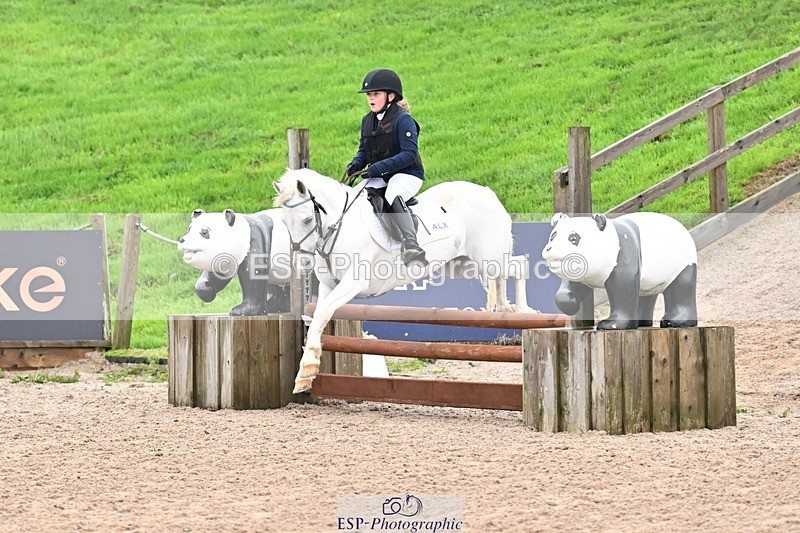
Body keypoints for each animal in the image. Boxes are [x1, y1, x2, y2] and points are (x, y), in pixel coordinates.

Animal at [272, 168, 532, 393]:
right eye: (284, 222)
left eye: (307, 220)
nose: (301, 262)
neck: (340, 228)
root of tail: (488, 192)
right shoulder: (329, 285)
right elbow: (317, 315)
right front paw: (307, 371)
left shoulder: (354, 282)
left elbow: (323, 311)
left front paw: (306, 369)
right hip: (463, 265)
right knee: (500, 276)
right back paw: (504, 308)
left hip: (489, 258)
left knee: (519, 266)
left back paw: (522, 310)